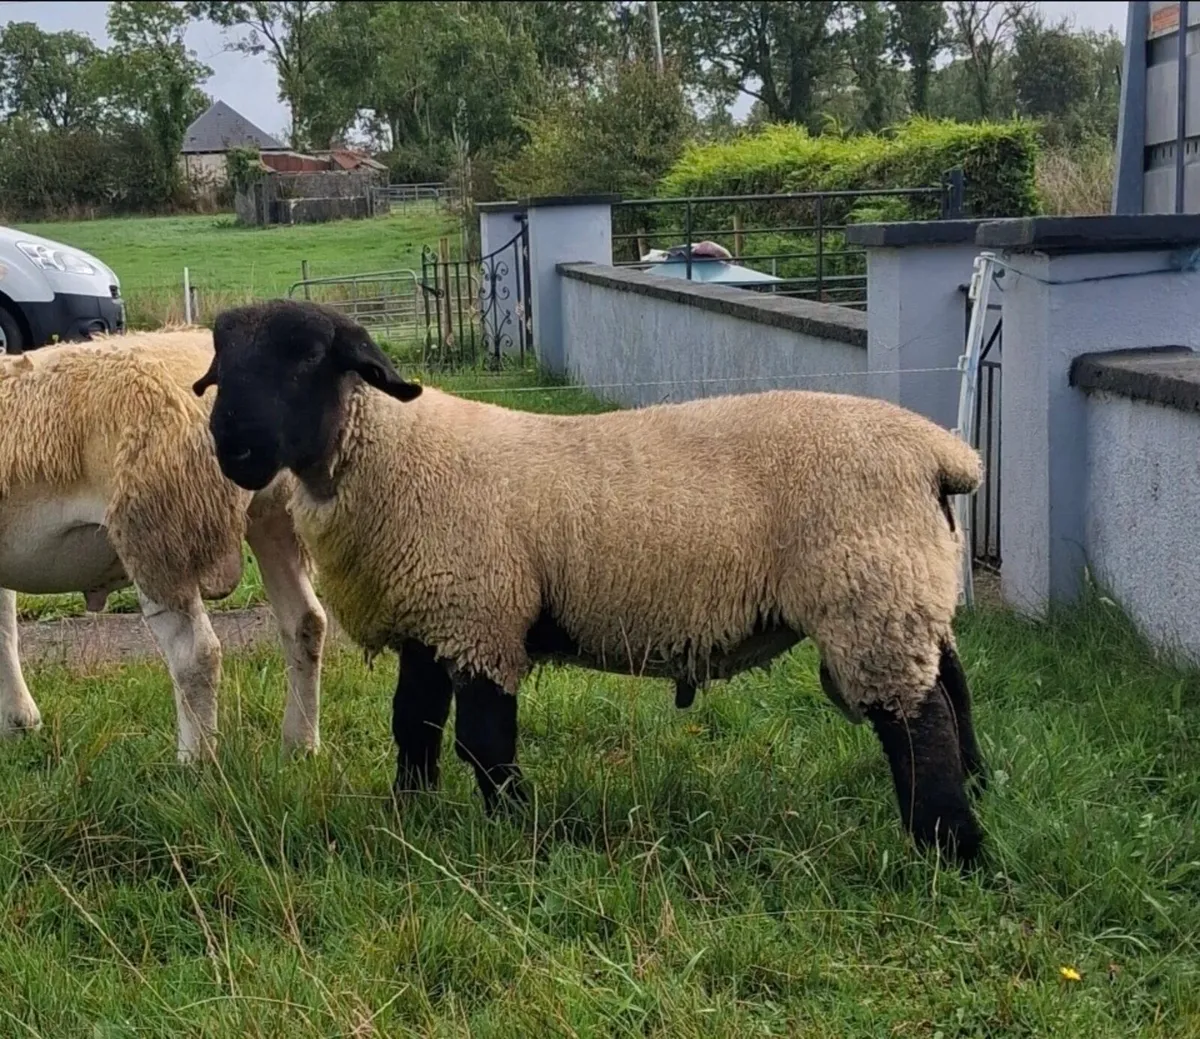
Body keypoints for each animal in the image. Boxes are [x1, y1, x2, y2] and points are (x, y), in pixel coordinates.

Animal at [0, 328, 328, 762]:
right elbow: (4, 627)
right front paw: (19, 722)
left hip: (159, 534)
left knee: (197, 653)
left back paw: (195, 760)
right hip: (276, 515)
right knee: (305, 622)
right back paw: (300, 744)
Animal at [194, 298, 988, 865]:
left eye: (308, 358)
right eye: (221, 363)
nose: (231, 447)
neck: (393, 453)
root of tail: (942, 453)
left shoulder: (482, 617)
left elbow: (484, 739)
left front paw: (518, 825)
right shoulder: (434, 616)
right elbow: (412, 724)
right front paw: (410, 817)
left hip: (868, 594)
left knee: (918, 722)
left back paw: (951, 848)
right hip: (904, 589)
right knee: (952, 685)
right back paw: (979, 788)